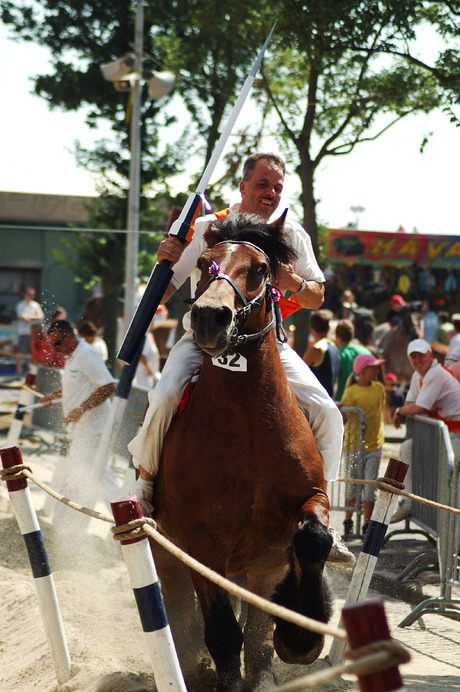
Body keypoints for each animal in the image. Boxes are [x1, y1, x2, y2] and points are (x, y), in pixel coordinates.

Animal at [153, 212, 332, 692]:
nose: (210, 317)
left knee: (258, 630)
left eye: (262, 269)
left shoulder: (308, 502)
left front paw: (302, 634)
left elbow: (314, 538)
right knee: (182, 618)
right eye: (205, 263)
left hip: (260, 567)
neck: (248, 422)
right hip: (169, 556)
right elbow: (220, 630)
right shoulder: (200, 543)